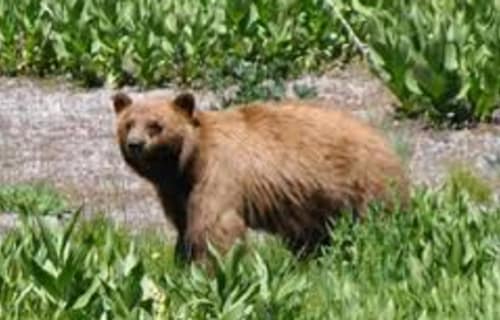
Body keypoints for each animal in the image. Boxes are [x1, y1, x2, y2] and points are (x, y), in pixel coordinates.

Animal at [111, 92, 408, 264]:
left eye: (155, 125)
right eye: (128, 124)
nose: (135, 144)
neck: (187, 162)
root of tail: (384, 141)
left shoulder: (219, 172)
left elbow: (216, 226)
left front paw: (212, 267)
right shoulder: (177, 191)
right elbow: (185, 226)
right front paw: (181, 262)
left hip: (363, 181)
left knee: (377, 219)